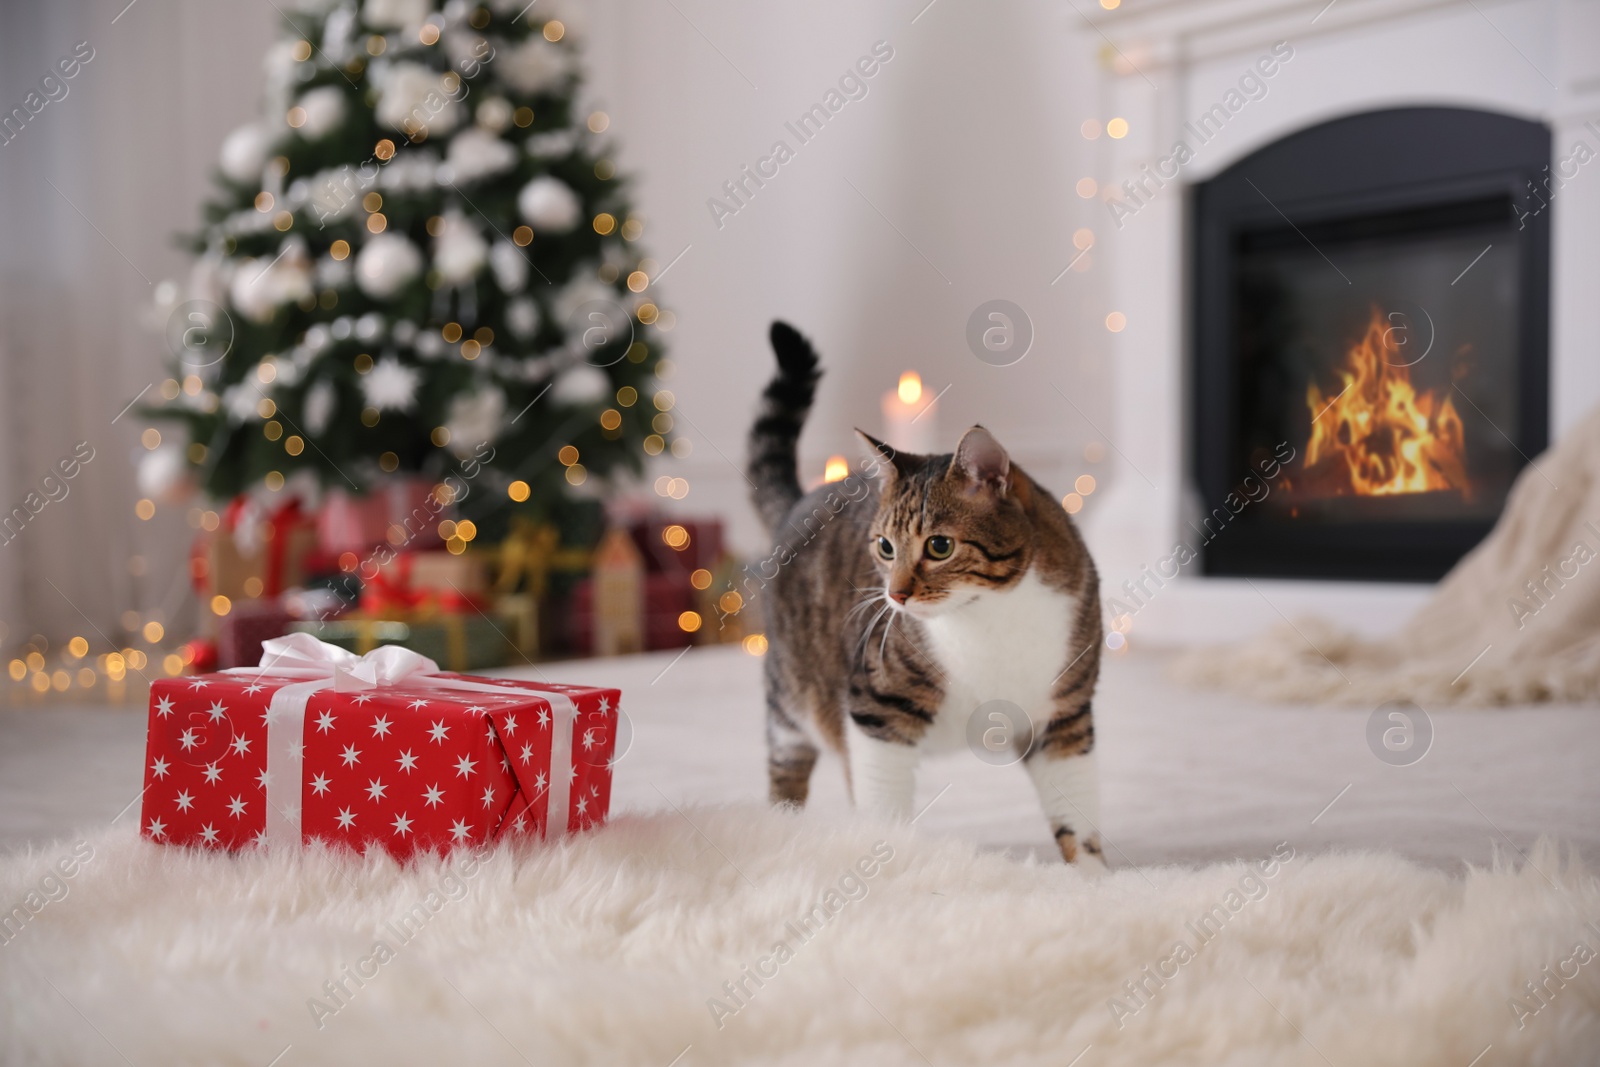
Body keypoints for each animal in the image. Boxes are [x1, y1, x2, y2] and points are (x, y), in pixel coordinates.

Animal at [745, 321, 1100, 863]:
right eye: (885, 547)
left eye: (939, 546)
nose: (895, 596)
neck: (993, 617)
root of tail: (799, 502)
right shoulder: (876, 703)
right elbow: (882, 805)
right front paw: (894, 858)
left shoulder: (1065, 715)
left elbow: (1077, 817)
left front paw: (1094, 877)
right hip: (791, 694)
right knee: (789, 767)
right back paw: (785, 830)